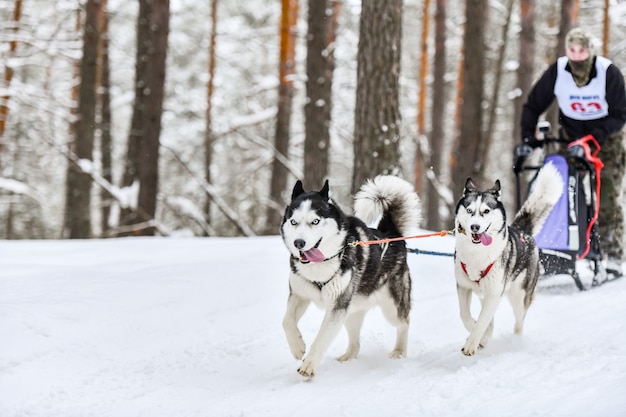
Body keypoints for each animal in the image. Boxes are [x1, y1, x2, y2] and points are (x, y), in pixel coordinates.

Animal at [282, 174, 420, 376]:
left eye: (315, 221)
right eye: (293, 222)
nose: (299, 242)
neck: (323, 263)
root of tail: (391, 234)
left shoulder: (337, 307)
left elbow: (322, 337)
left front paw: (309, 364)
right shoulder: (300, 295)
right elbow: (286, 322)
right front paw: (297, 347)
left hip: (391, 307)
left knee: (404, 323)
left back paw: (399, 352)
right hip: (351, 311)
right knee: (356, 343)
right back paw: (347, 357)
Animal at [454, 162, 560, 354]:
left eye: (486, 211)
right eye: (470, 210)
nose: (475, 227)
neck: (477, 253)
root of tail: (522, 231)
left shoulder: (494, 294)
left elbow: (481, 322)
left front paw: (473, 343)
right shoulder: (464, 287)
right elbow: (466, 315)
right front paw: (480, 337)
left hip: (519, 296)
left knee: (519, 323)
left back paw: (515, 341)